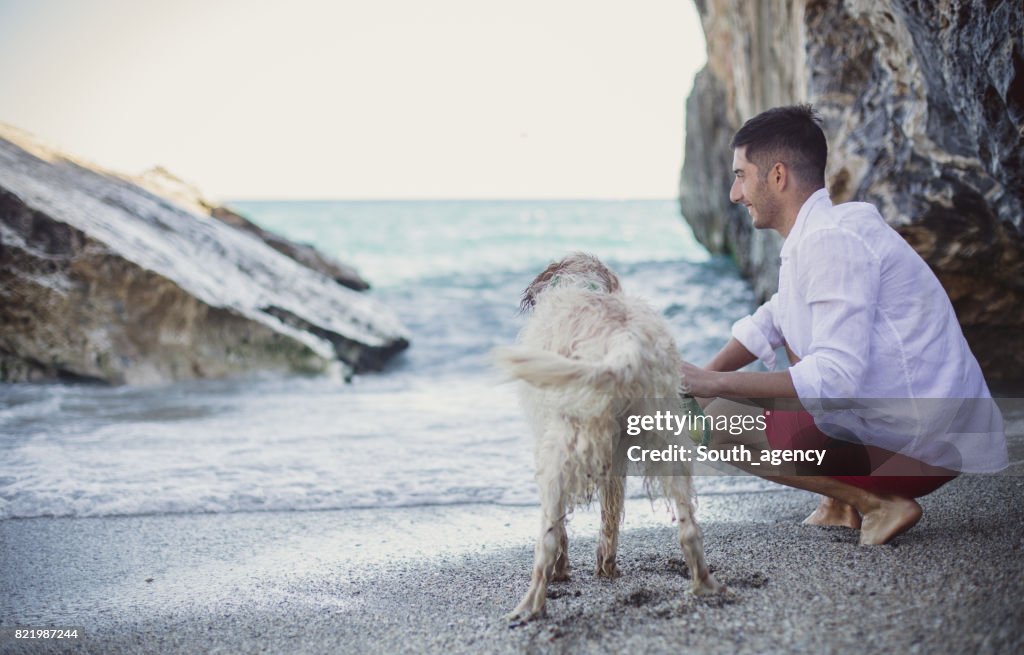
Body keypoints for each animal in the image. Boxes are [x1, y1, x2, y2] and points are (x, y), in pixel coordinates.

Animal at [493, 253, 720, 622]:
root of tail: (623, 340)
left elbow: (563, 529)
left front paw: (563, 571)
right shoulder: (616, 458)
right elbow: (610, 517)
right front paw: (606, 568)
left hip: (561, 452)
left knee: (549, 537)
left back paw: (530, 606)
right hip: (666, 443)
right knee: (689, 529)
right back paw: (704, 584)